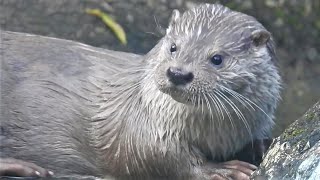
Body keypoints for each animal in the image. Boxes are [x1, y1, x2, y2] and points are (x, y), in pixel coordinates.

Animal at [0, 3, 280, 180]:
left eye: (217, 59)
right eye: (174, 47)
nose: (178, 73)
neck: (219, 134)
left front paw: (261, 145)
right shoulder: (144, 128)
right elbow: (158, 158)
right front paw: (220, 170)